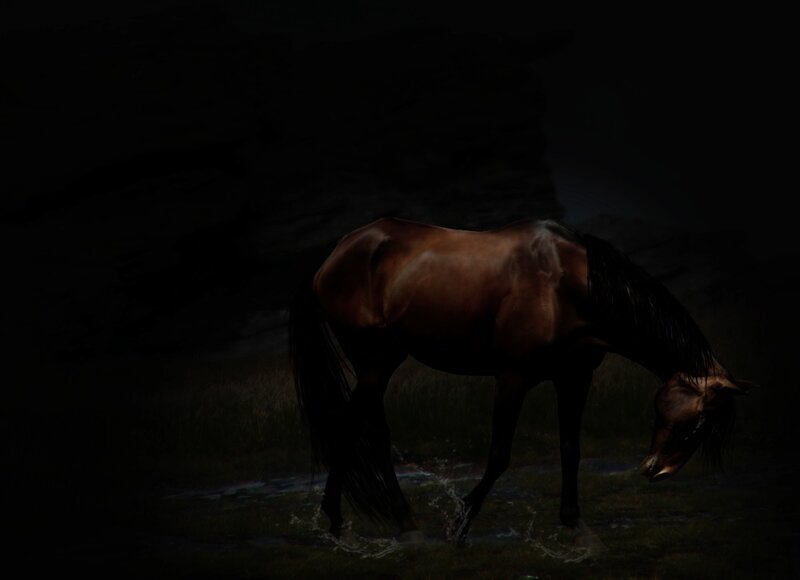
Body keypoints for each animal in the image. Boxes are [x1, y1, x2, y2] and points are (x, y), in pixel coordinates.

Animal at [288, 217, 753, 542]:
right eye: (699, 420)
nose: (657, 469)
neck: (565, 283)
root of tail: (339, 250)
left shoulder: (574, 378)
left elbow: (570, 449)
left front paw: (575, 524)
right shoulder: (512, 378)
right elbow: (499, 456)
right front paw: (459, 525)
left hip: (381, 365)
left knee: (367, 430)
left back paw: (389, 523)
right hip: (373, 363)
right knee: (356, 430)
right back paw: (353, 521)